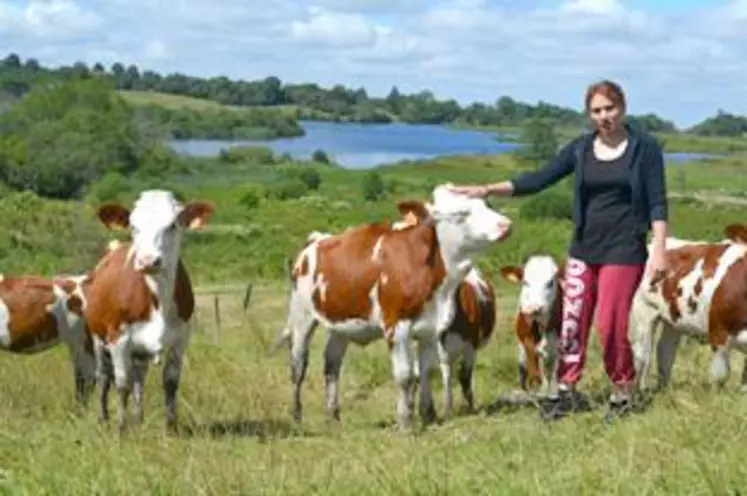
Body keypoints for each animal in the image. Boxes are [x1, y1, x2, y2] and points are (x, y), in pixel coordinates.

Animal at [83, 191, 215, 434]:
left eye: (172, 225)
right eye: (133, 226)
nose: (148, 260)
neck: (158, 299)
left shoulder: (180, 340)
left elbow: (170, 383)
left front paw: (171, 427)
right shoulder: (118, 339)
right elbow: (122, 384)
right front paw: (121, 429)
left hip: (139, 352)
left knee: (139, 380)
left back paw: (139, 419)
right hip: (97, 339)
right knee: (104, 377)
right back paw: (104, 419)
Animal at [280, 184, 516, 428]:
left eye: (487, 203)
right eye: (461, 213)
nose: (505, 224)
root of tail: (317, 240)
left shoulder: (431, 328)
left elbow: (425, 371)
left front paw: (428, 414)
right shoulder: (397, 325)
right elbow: (405, 375)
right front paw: (405, 422)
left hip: (341, 325)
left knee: (332, 364)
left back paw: (332, 415)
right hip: (302, 316)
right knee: (298, 365)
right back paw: (297, 415)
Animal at [500, 256, 564, 400]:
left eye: (550, 282)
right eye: (525, 282)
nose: (534, 308)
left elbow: (555, 368)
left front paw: (554, 391)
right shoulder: (526, 337)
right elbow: (534, 358)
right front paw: (538, 386)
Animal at [632, 224, 747, 392]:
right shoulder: (718, 333)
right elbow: (720, 376)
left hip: (673, 318)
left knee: (665, 350)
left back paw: (664, 390)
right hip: (644, 311)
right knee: (643, 353)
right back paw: (640, 389)